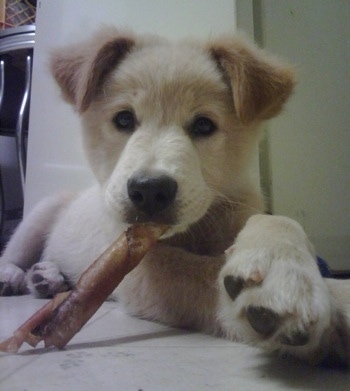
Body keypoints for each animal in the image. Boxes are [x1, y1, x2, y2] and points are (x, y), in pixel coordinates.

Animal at [0, 28, 350, 368]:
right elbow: (200, 272)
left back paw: (47, 277)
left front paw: (286, 269)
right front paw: (336, 297)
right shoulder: (140, 267)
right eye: (124, 119)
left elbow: (273, 221)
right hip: (41, 212)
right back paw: (15, 274)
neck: (196, 229)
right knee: (16, 250)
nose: (149, 191)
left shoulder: (240, 206)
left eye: (204, 125)